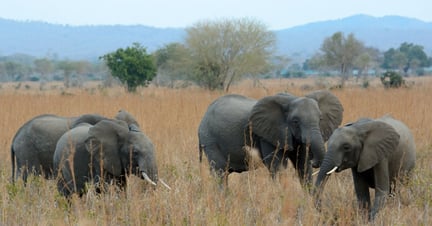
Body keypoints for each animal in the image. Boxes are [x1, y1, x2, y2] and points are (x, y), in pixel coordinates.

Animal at [199, 90, 344, 187]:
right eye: (295, 121)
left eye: (320, 119)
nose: (315, 161)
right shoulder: (268, 135)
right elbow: (277, 167)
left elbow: (303, 165)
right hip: (210, 140)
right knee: (220, 173)